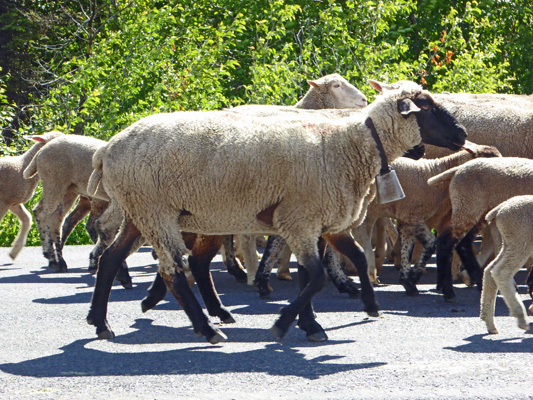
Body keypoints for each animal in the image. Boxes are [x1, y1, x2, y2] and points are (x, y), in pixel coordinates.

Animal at [86, 82, 466, 344]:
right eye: (426, 105)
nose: (462, 134)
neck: (348, 144)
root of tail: (108, 148)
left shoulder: (320, 221)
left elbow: (342, 262)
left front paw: (349, 312)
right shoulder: (299, 218)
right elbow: (316, 277)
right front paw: (284, 324)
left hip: (139, 211)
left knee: (111, 259)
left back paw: (101, 322)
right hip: (155, 211)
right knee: (174, 271)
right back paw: (206, 328)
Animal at [426, 158, 532, 302]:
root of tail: (458, 169)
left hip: (480, 211)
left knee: (463, 243)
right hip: (467, 205)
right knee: (447, 242)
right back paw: (450, 292)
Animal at [478, 195, 532, 334]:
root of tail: (500, 209)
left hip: (509, 243)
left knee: (489, 270)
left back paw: (489, 322)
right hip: (521, 240)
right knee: (501, 272)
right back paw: (520, 316)